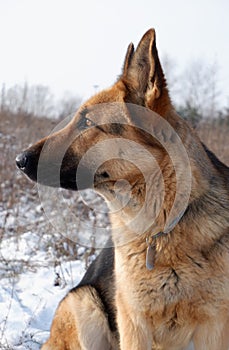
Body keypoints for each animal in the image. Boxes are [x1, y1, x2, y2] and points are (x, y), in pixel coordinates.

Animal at [16, 30, 229, 350]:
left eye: (86, 122)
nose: (19, 160)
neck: (159, 228)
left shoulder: (214, 328)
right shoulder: (134, 324)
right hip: (85, 302)